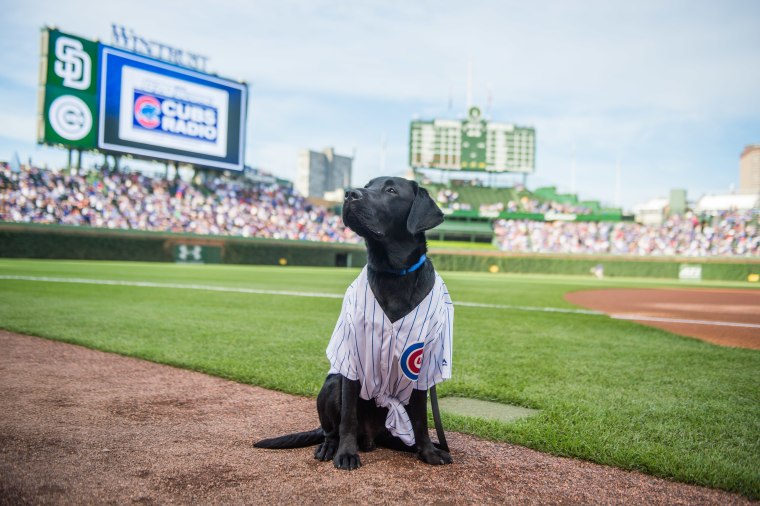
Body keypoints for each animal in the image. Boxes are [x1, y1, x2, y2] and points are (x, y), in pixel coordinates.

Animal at [255, 178, 452, 470]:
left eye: (391, 190)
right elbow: (348, 416)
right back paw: (330, 446)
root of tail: (372, 437)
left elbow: (421, 419)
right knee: (331, 430)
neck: (394, 274)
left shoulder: (424, 364)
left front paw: (428, 451)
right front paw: (346, 453)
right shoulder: (351, 357)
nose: (349, 194)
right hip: (331, 383)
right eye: (369, 184)